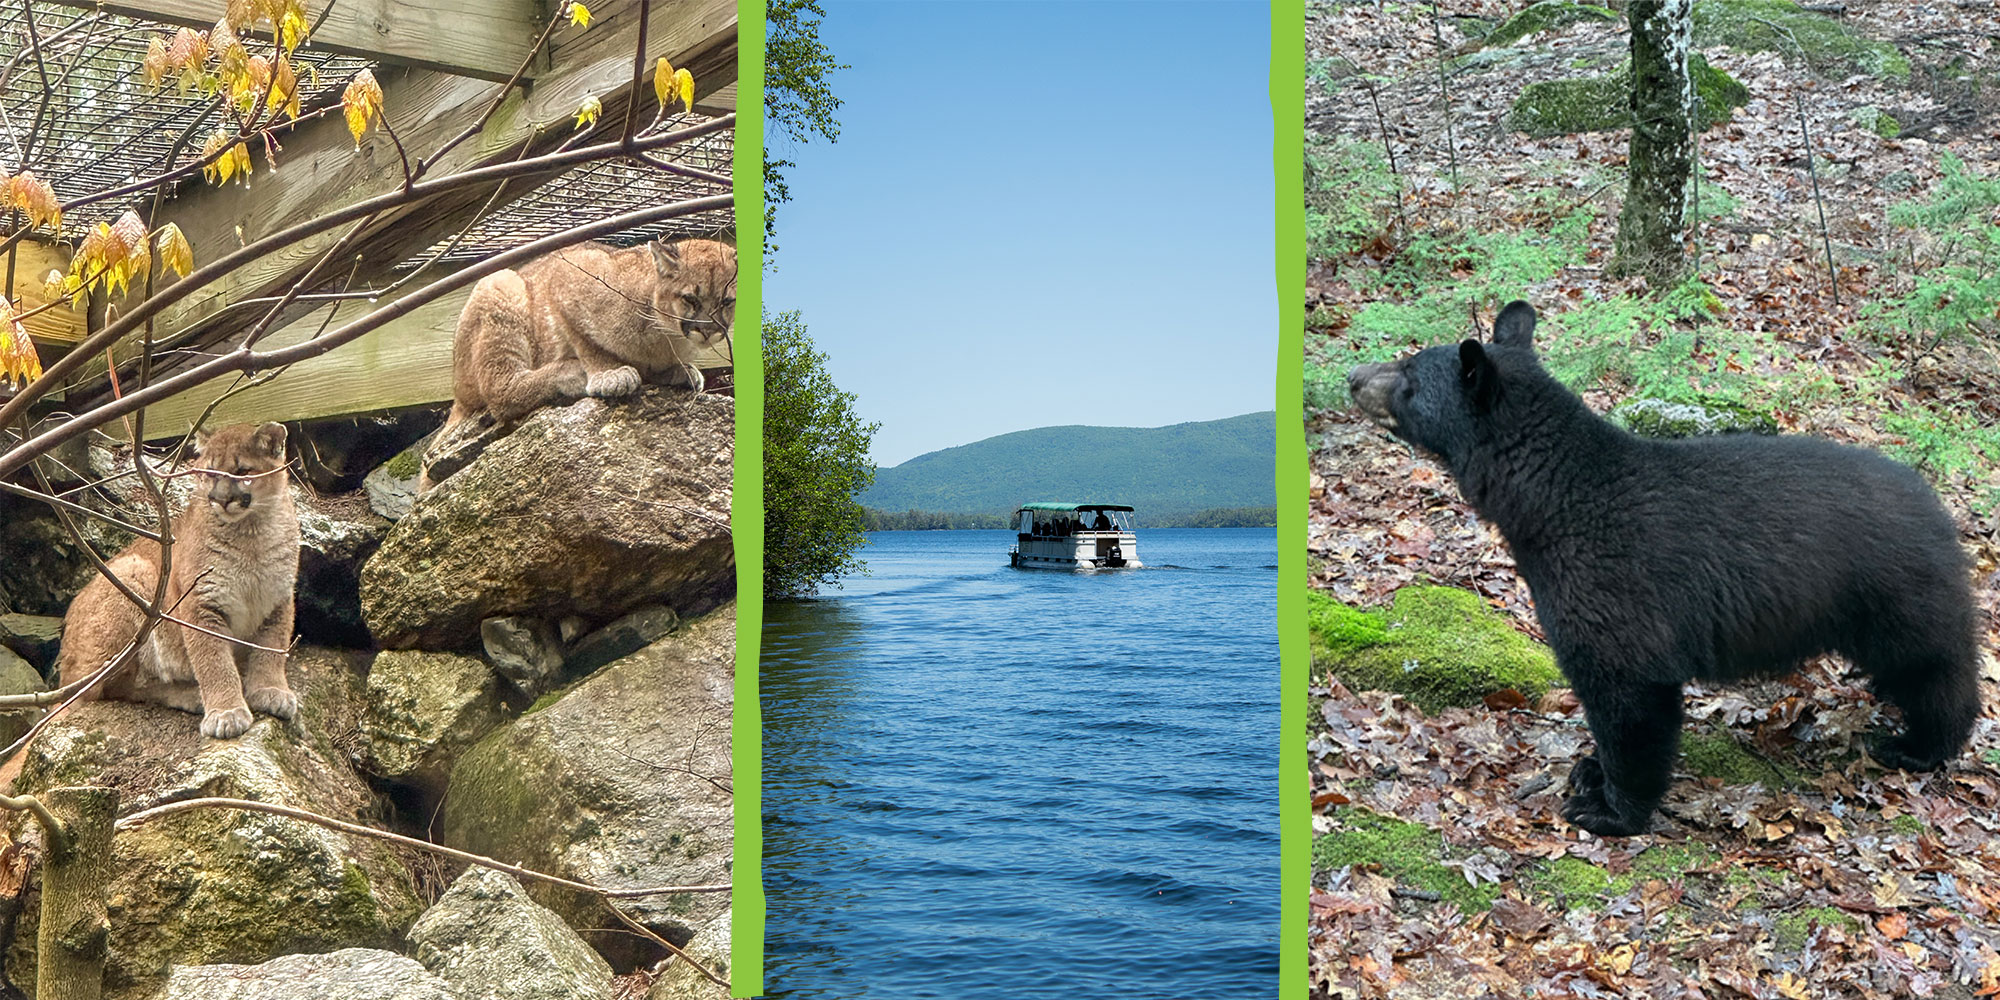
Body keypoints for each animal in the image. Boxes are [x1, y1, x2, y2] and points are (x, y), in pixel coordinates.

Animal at [60, 422, 300, 744]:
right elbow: (213, 660)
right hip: (134, 576)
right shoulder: (201, 603)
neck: (252, 534)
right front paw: (226, 712)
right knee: (114, 688)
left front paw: (270, 690)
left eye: (242, 472)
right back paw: (191, 695)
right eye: (210, 472)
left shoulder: (278, 598)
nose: (221, 499)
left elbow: (272, 649)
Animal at [1344, 302, 1984, 836]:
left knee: (1933, 668)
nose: (1351, 376)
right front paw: (1589, 770)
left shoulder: (1613, 587)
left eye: (1407, 373)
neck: (1560, 498)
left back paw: (1921, 745)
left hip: (1893, 593)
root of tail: (1937, 507)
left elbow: (1631, 701)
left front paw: (1609, 808)